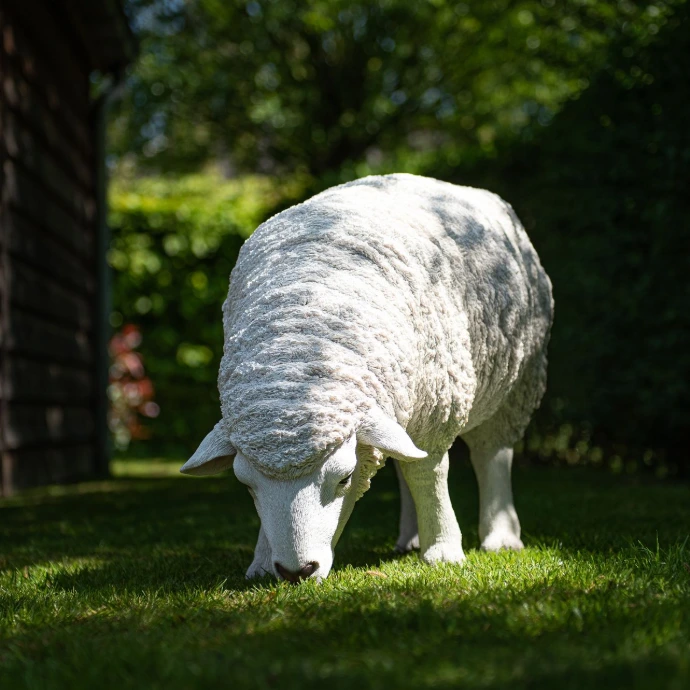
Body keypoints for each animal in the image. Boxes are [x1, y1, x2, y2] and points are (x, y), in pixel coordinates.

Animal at [180, 173, 554, 582]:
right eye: (245, 485)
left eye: (344, 478)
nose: (297, 571)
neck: (302, 327)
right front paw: (262, 564)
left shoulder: (437, 409)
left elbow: (428, 475)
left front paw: (442, 551)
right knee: (405, 459)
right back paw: (409, 540)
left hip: (517, 383)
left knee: (492, 452)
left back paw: (500, 537)